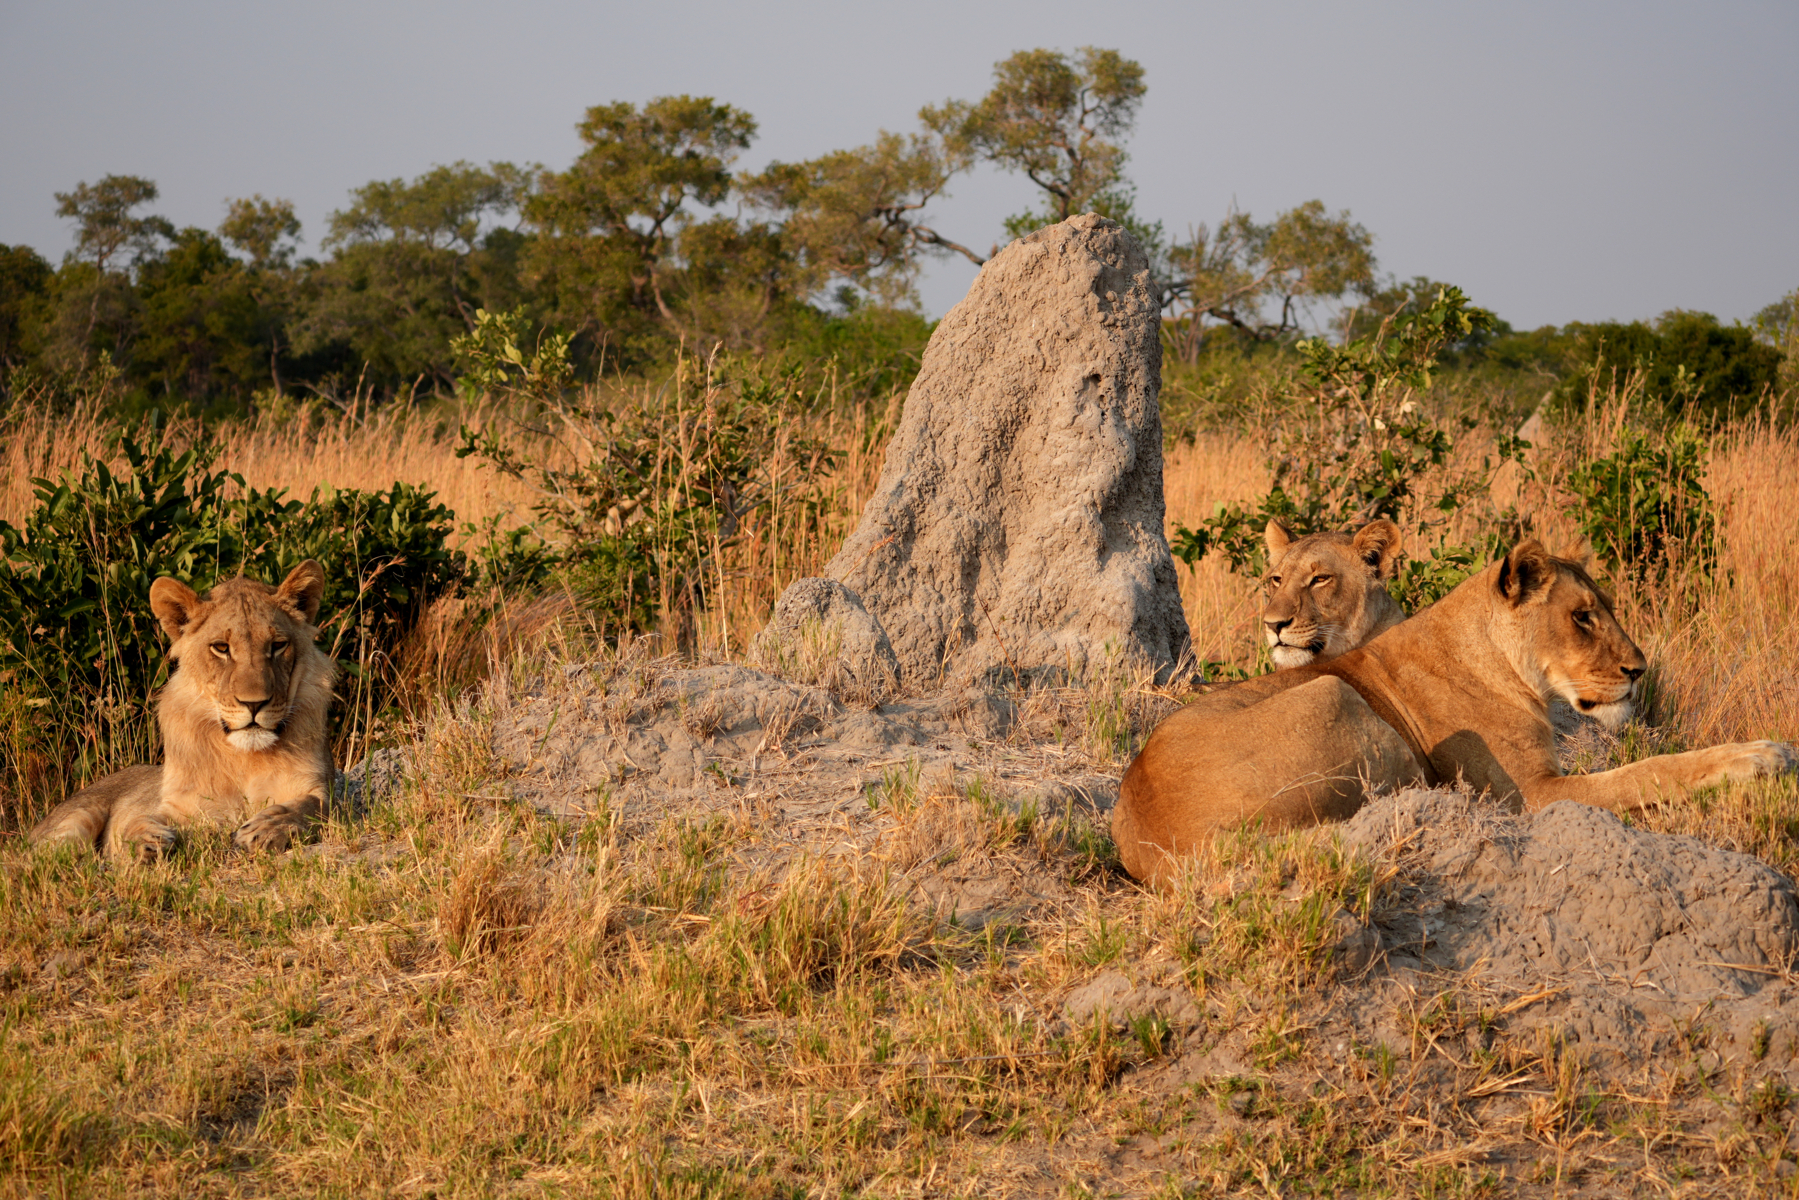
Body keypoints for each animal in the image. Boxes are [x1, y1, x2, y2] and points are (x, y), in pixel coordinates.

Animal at [31, 564, 338, 863]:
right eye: (221, 648)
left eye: (277, 645)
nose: (254, 704)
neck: (243, 759)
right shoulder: (179, 806)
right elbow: (139, 819)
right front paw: (145, 843)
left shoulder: (316, 788)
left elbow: (313, 807)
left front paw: (267, 828)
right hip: (78, 818)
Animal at [1108, 539, 1799, 888]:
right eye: (1582, 616)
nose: (1639, 669)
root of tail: (1160, 845)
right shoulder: (1534, 794)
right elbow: (1648, 771)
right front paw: (1762, 755)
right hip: (1334, 694)